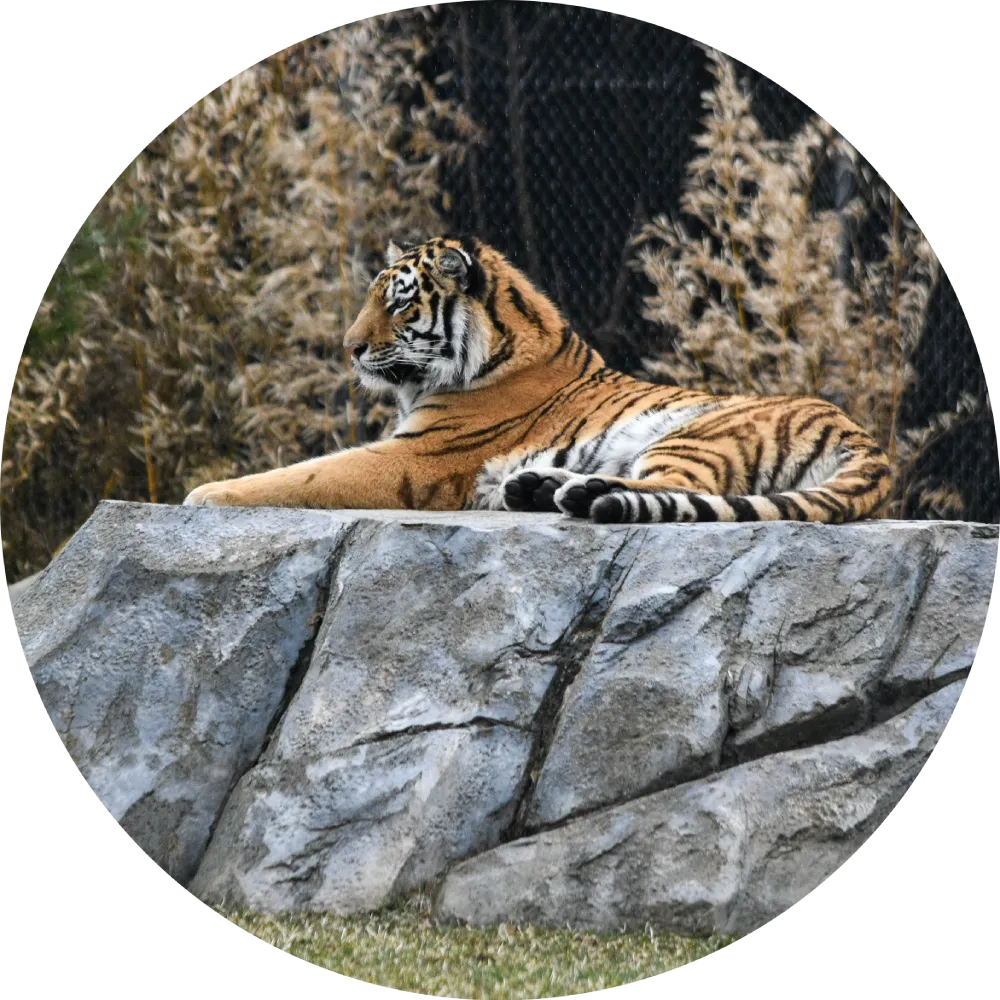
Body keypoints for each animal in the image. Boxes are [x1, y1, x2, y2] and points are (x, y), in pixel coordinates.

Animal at [183, 236, 891, 523]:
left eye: (401, 302)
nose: (350, 349)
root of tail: (867, 439)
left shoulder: (413, 456)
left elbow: (304, 475)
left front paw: (205, 494)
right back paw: (536, 488)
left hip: (697, 433)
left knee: (676, 490)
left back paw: (567, 494)